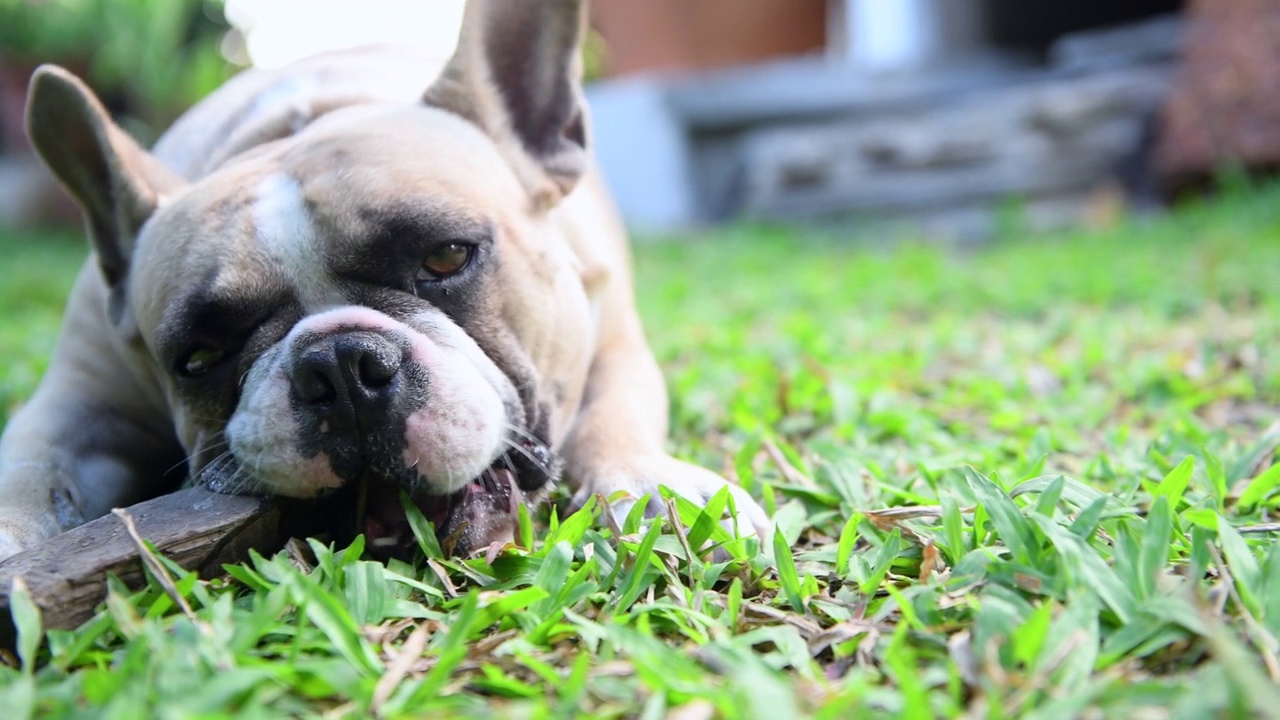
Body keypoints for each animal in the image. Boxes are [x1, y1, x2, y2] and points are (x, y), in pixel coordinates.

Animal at [0, 1, 768, 561]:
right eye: (198, 357)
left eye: (448, 259)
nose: (341, 366)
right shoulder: (83, 399)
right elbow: (29, 462)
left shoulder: (613, 340)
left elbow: (616, 416)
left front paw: (651, 485)